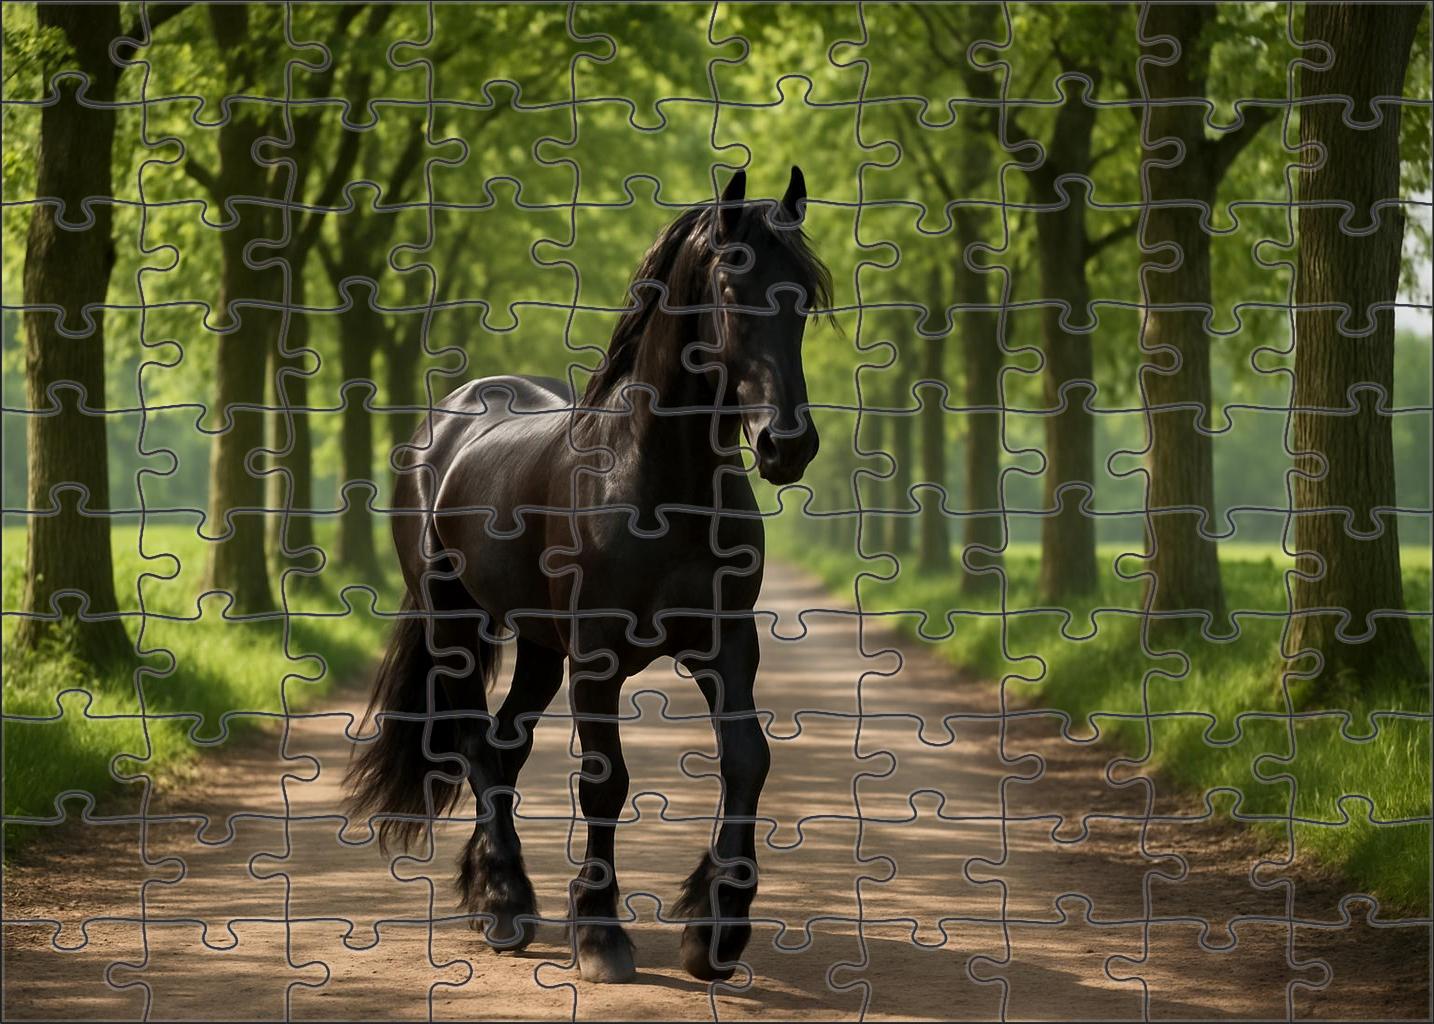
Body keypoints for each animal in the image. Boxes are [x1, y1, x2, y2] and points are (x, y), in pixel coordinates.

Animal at [345, 165, 830, 984]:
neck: (656, 482)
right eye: (732, 289)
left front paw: (717, 929)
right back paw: (506, 902)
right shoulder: (597, 661)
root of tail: (448, 420)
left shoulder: (727, 645)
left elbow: (747, 761)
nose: (786, 445)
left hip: (539, 648)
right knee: (475, 742)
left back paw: (489, 886)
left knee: (503, 745)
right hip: (455, 625)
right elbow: (606, 783)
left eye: (803, 295)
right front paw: (601, 934)